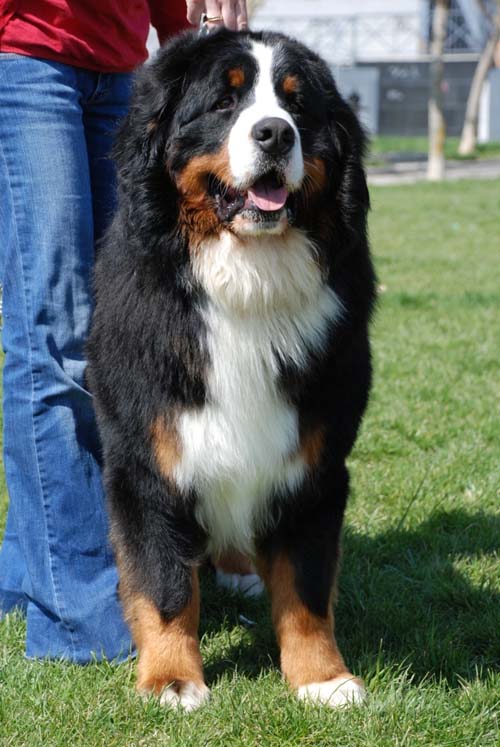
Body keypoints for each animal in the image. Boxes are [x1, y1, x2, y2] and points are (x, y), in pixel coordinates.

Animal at [87, 26, 376, 712]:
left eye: (298, 106)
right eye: (225, 102)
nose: (275, 134)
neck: (249, 281)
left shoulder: (313, 460)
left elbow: (306, 586)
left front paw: (322, 679)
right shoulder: (146, 459)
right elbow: (164, 581)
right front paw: (170, 679)